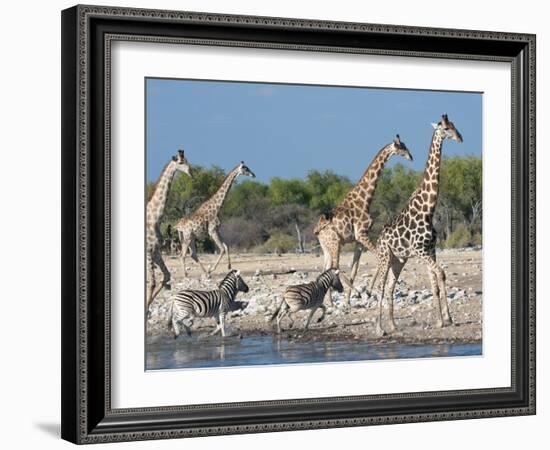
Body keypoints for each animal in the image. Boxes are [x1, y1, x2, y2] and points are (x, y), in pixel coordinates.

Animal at [147, 149, 192, 312]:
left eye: (188, 160)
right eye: (180, 162)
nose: (191, 172)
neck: (154, 218)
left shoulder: (156, 251)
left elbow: (166, 276)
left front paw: (147, 310)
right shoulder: (149, 251)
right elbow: (153, 282)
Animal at [314, 135, 414, 304]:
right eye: (401, 147)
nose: (411, 157)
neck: (365, 201)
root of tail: (317, 232)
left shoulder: (359, 239)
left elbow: (355, 268)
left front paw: (348, 300)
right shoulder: (362, 234)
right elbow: (378, 258)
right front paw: (366, 292)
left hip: (326, 247)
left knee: (326, 268)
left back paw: (331, 303)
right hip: (335, 243)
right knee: (335, 267)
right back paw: (353, 294)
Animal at [376, 114, 466, 336]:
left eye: (454, 125)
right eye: (445, 128)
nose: (460, 137)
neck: (428, 210)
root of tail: (378, 238)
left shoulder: (430, 250)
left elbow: (436, 282)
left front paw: (445, 319)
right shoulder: (422, 251)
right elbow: (440, 274)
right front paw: (442, 320)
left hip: (398, 260)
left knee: (390, 287)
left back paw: (393, 325)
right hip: (384, 257)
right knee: (380, 287)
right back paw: (379, 329)